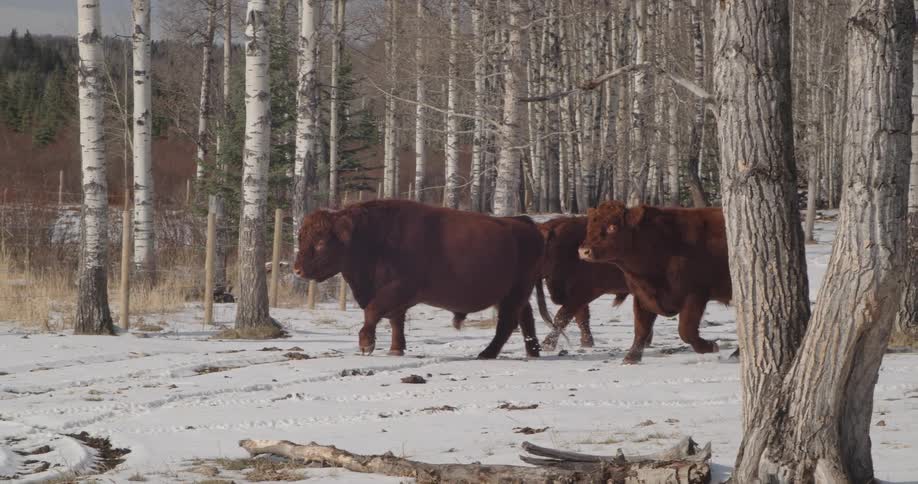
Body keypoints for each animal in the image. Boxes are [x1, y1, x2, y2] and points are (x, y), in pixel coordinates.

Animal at [293, 199, 543, 359]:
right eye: (301, 238)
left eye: (321, 242)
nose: (297, 270)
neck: (370, 237)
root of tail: (523, 223)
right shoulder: (395, 297)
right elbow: (396, 321)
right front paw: (396, 349)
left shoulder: (397, 289)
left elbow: (373, 311)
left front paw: (366, 345)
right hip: (513, 294)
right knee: (525, 318)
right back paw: (533, 352)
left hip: (515, 292)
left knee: (508, 323)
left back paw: (486, 354)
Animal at [579, 200, 731, 364]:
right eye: (589, 227)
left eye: (612, 227)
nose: (584, 251)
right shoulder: (642, 296)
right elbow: (641, 328)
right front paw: (631, 358)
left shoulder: (695, 296)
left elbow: (686, 330)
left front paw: (710, 346)